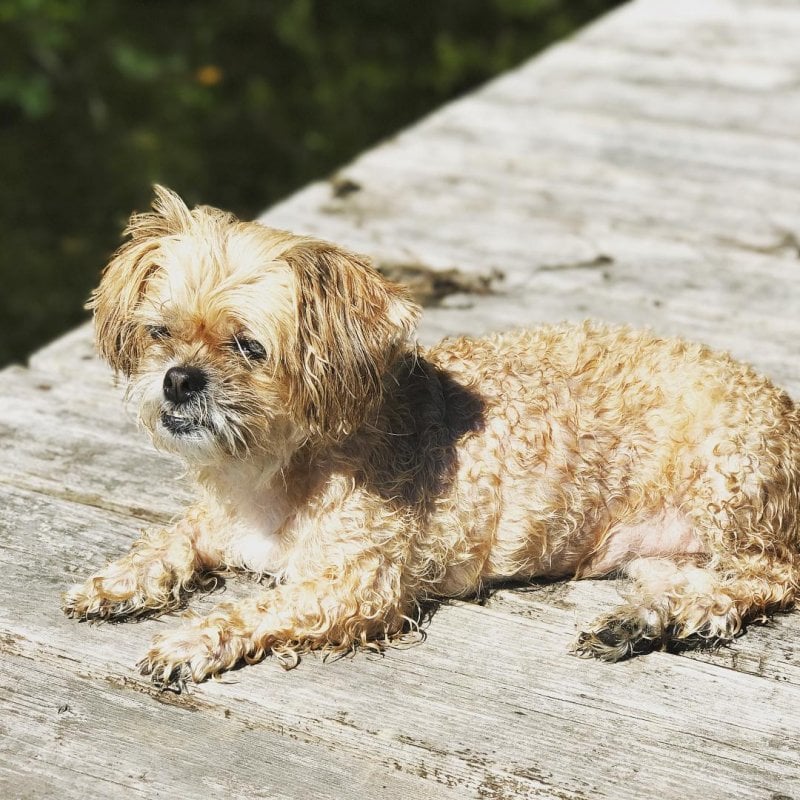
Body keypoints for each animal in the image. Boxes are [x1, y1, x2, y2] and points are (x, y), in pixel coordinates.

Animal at [62, 186, 800, 688]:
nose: (179, 380)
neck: (274, 468)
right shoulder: (220, 524)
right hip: (662, 554)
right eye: (160, 332)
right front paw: (117, 581)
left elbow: (255, 607)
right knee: (701, 583)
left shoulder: (360, 584)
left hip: (728, 484)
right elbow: (172, 537)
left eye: (248, 346)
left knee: (769, 579)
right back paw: (647, 620)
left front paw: (189, 641)